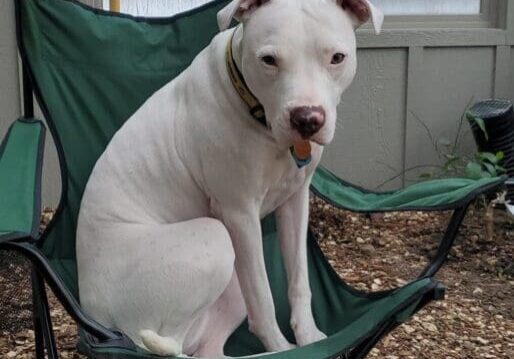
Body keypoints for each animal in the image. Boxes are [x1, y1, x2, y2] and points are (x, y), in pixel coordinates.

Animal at [76, 0, 380, 358]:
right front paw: (283, 347)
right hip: (214, 239)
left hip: (232, 284)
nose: (307, 119)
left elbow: (299, 281)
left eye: (337, 58)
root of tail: (94, 312)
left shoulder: (295, 200)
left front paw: (309, 338)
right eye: (269, 60)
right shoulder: (239, 213)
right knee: (169, 341)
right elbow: (262, 296)